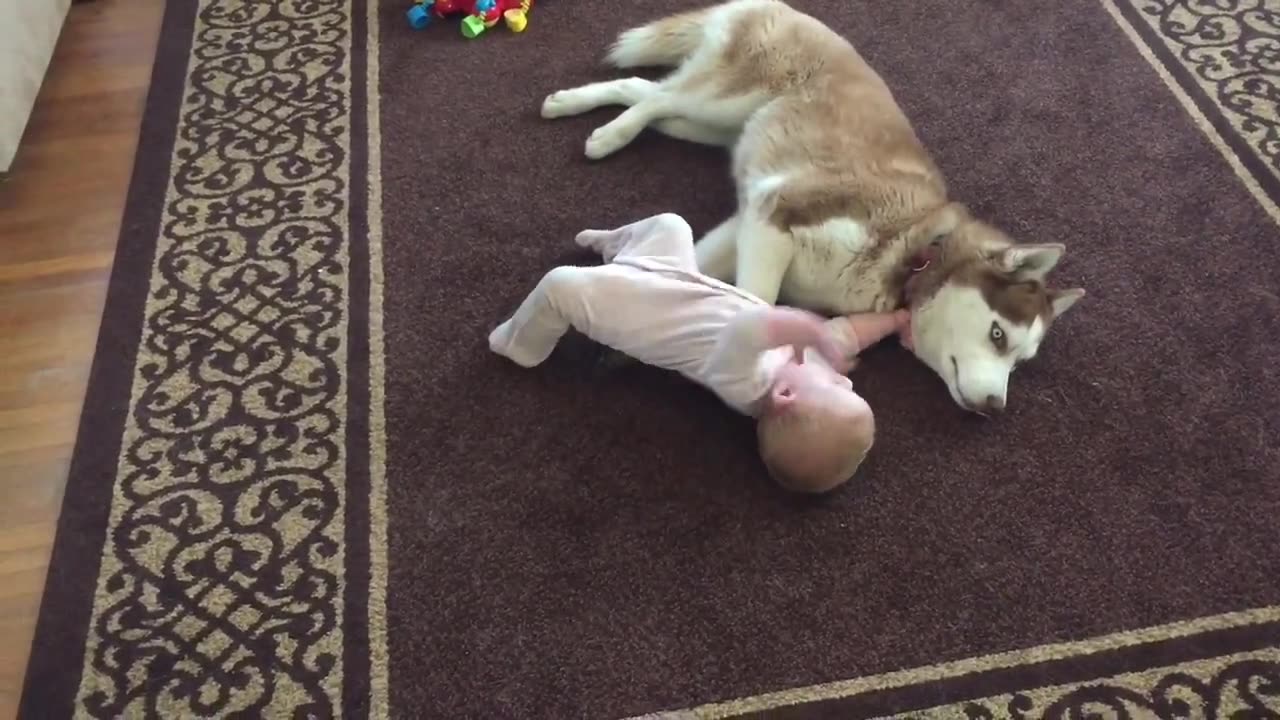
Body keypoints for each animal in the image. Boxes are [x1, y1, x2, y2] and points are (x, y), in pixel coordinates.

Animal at [535, 0, 1085, 412]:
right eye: (998, 336)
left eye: (1021, 362)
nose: (995, 407)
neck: (918, 254)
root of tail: (783, 7)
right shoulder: (776, 215)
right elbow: (751, 301)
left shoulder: (748, 218)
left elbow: (691, 274)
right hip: (723, 100)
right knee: (661, 98)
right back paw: (608, 133)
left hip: (713, 125)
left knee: (647, 91)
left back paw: (575, 105)